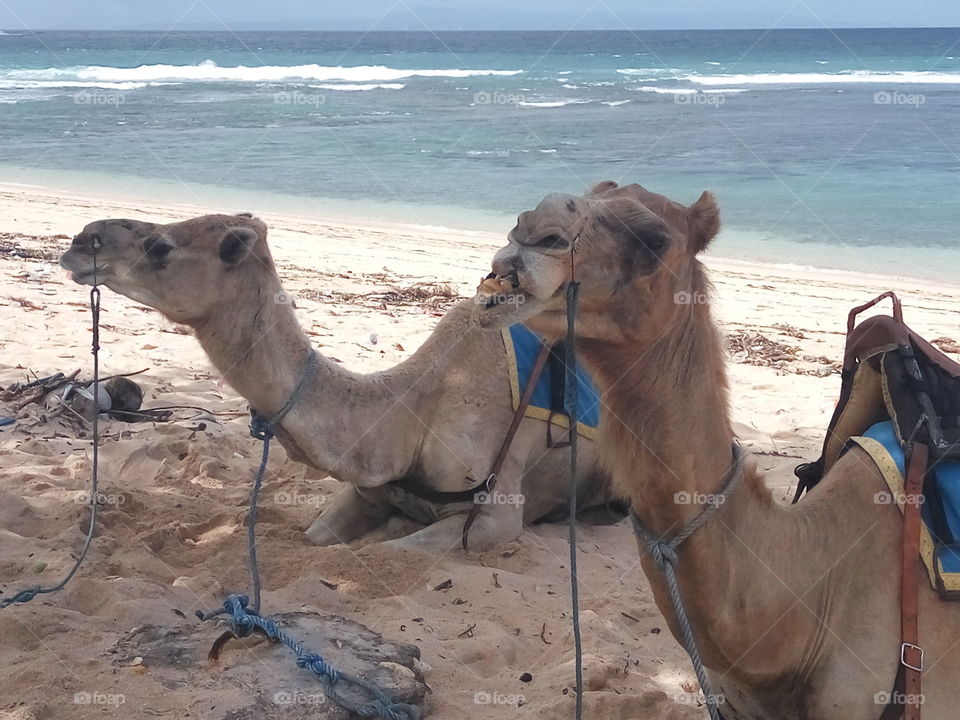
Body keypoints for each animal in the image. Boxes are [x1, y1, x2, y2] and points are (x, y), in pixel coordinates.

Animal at [58, 214, 616, 552]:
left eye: (159, 246)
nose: (80, 240)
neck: (415, 412)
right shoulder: (366, 491)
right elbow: (317, 537)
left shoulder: (497, 517)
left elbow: (401, 548)